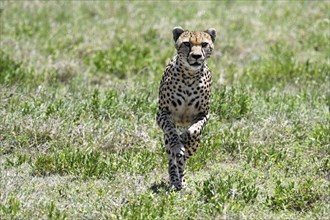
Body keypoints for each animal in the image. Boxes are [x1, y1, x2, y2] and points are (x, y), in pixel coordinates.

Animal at [157, 26, 217, 190]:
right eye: (187, 44)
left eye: (204, 44)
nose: (196, 56)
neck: (189, 75)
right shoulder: (162, 113)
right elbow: (172, 133)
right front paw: (178, 145)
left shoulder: (204, 114)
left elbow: (193, 130)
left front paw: (185, 139)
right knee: (172, 159)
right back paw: (174, 180)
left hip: (197, 143)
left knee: (185, 158)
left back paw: (182, 178)